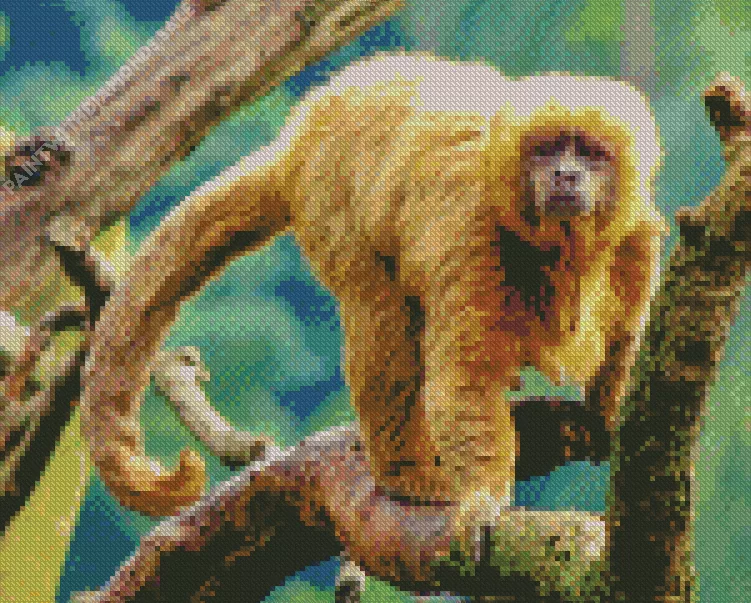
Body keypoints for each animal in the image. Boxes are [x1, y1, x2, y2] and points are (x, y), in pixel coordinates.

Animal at [81, 52, 666, 540]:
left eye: (591, 154)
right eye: (546, 151)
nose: (566, 175)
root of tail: (307, 127)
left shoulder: (637, 237)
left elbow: (624, 345)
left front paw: (611, 418)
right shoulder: (472, 228)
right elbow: (465, 376)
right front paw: (484, 500)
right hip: (328, 199)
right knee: (381, 319)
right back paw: (406, 474)